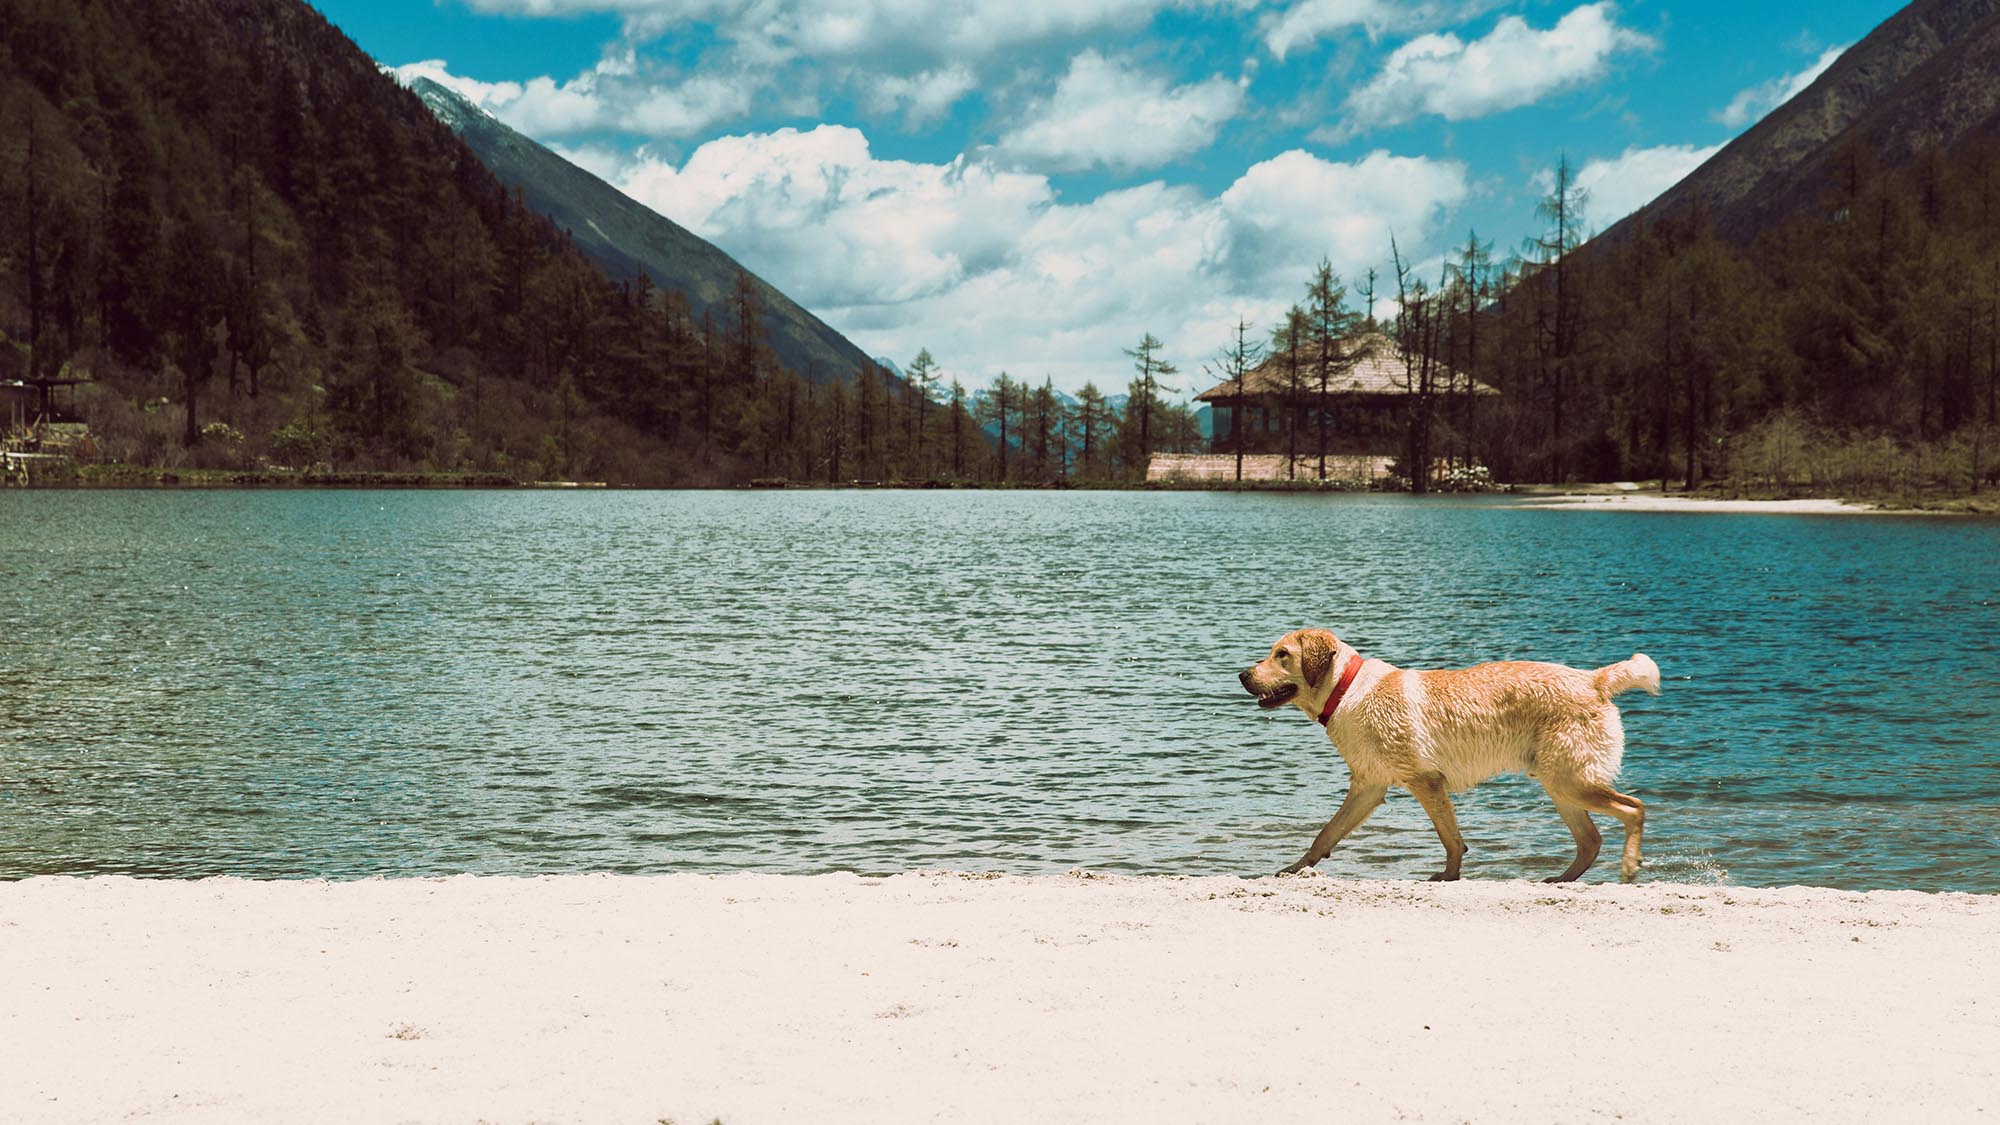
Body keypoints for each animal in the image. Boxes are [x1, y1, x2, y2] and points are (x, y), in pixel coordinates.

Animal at [1232, 624, 1656, 880]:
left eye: (1282, 654)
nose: (1242, 675)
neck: (1346, 689)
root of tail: (1594, 678)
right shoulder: (1368, 787)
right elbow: (1325, 834)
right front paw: (1296, 868)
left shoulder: (1426, 781)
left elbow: (1450, 838)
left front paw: (1449, 877)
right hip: (1559, 784)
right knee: (1590, 840)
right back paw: (1560, 880)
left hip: (1569, 781)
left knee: (1634, 808)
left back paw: (1629, 865)